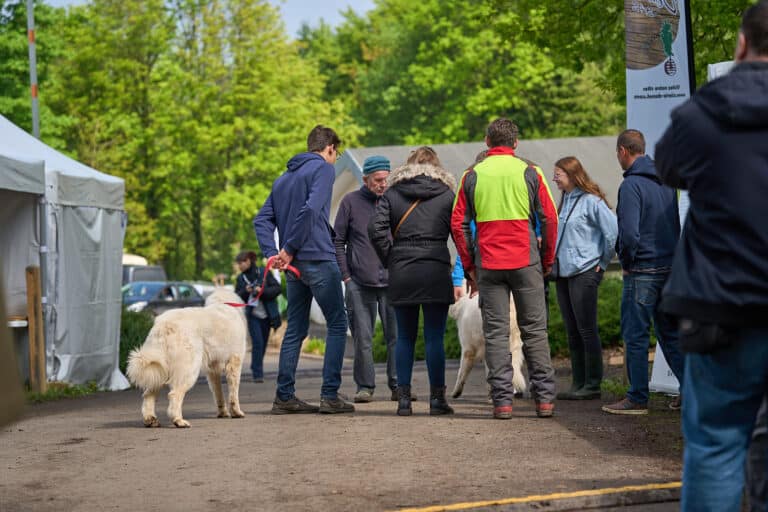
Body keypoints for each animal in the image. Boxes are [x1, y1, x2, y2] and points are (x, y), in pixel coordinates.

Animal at [126, 288, 246, 428]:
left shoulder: (212, 370)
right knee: (174, 394)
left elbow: (218, 393)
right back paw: (178, 421)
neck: (222, 303)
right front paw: (236, 412)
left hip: (160, 370)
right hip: (189, 369)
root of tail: (165, 325)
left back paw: (150, 419)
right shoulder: (234, 363)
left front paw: (223, 413)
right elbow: (234, 393)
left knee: (148, 394)